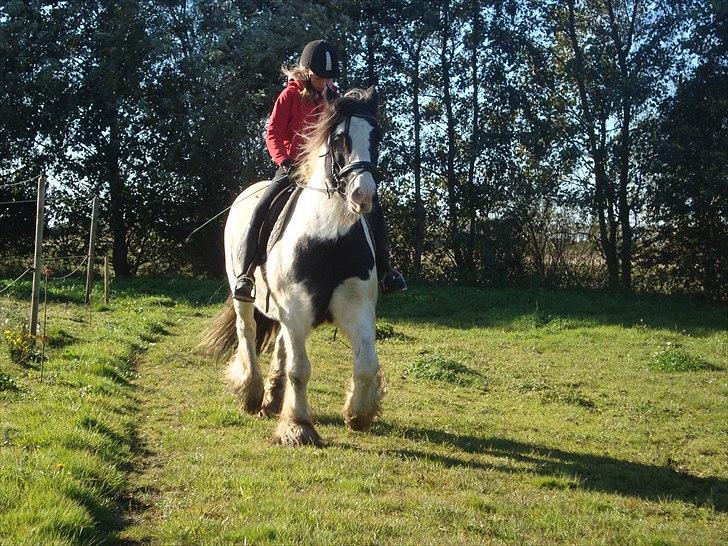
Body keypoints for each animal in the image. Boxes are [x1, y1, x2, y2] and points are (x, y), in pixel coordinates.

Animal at [196, 87, 384, 444]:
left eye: (376, 136)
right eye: (339, 139)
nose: (362, 195)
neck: (329, 239)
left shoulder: (356, 307)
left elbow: (366, 364)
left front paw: (359, 414)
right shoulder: (296, 308)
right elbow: (300, 369)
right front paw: (298, 426)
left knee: (281, 343)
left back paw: (272, 398)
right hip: (245, 295)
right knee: (247, 331)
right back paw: (252, 393)